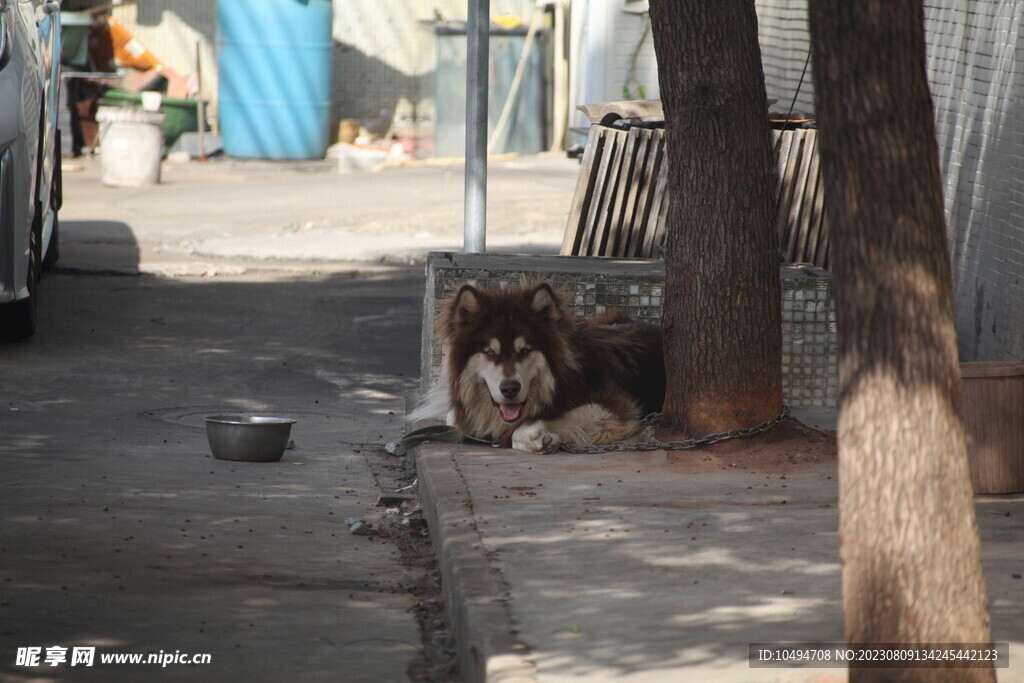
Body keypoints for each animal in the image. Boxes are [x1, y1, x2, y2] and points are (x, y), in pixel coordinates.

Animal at [407, 282, 663, 454]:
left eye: (525, 351)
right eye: (490, 352)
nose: (509, 388)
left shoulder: (617, 407)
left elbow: (522, 429)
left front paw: (539, 436)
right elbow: (453, 418)